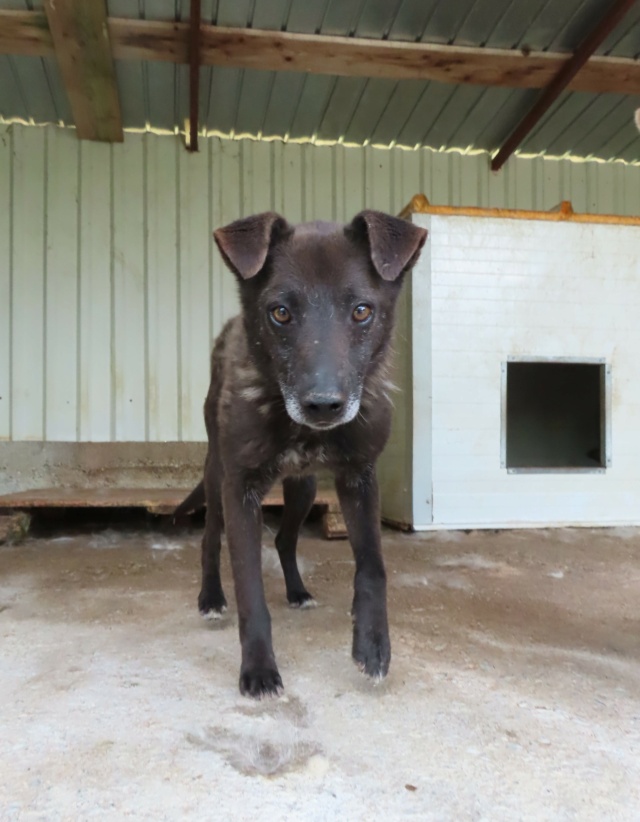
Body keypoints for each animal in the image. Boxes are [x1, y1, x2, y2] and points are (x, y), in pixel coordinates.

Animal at [175, 209, 424, 700]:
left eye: (362, 311)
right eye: (281, 312)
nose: (324, 405)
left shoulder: (359, 478)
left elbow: (373, 566)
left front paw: (373, 646)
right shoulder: (241, 489)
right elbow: (249, 587)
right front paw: (258, 669)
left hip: (305, 488)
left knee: (285, 539)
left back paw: (297, 591)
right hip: (217, 476)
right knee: (210, 538)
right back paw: (211, 597)